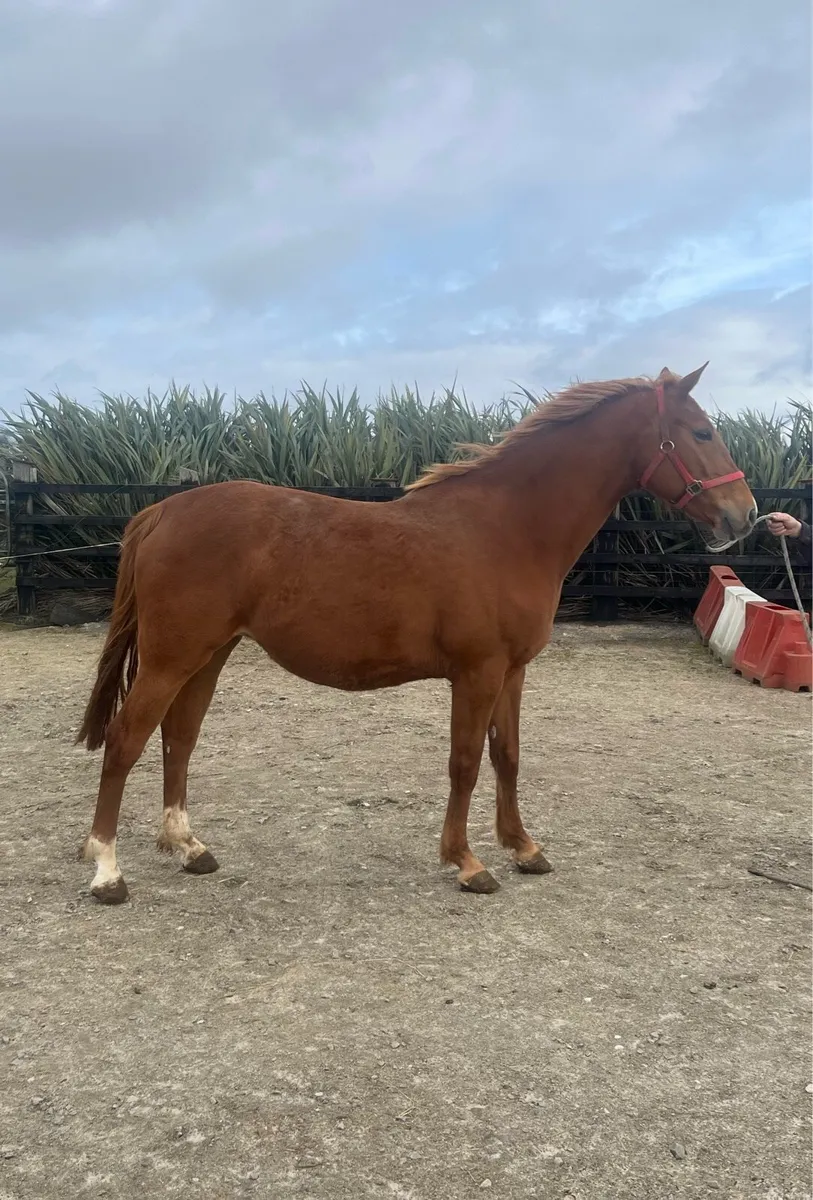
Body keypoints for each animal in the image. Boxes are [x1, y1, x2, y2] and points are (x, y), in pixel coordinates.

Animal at [76, 363, 756, 904]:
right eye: (702, 432)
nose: (745, 516)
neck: (507, 528)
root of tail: (161, 510)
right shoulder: (478, 671)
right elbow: (465, 762)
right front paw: (468, 863)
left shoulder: (513, 671)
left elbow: (507, 756)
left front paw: (523, 847)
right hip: (172, 658)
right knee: (126, 741)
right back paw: (107, 871)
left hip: (208, 655)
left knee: (179, 739)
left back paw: (188, 847)